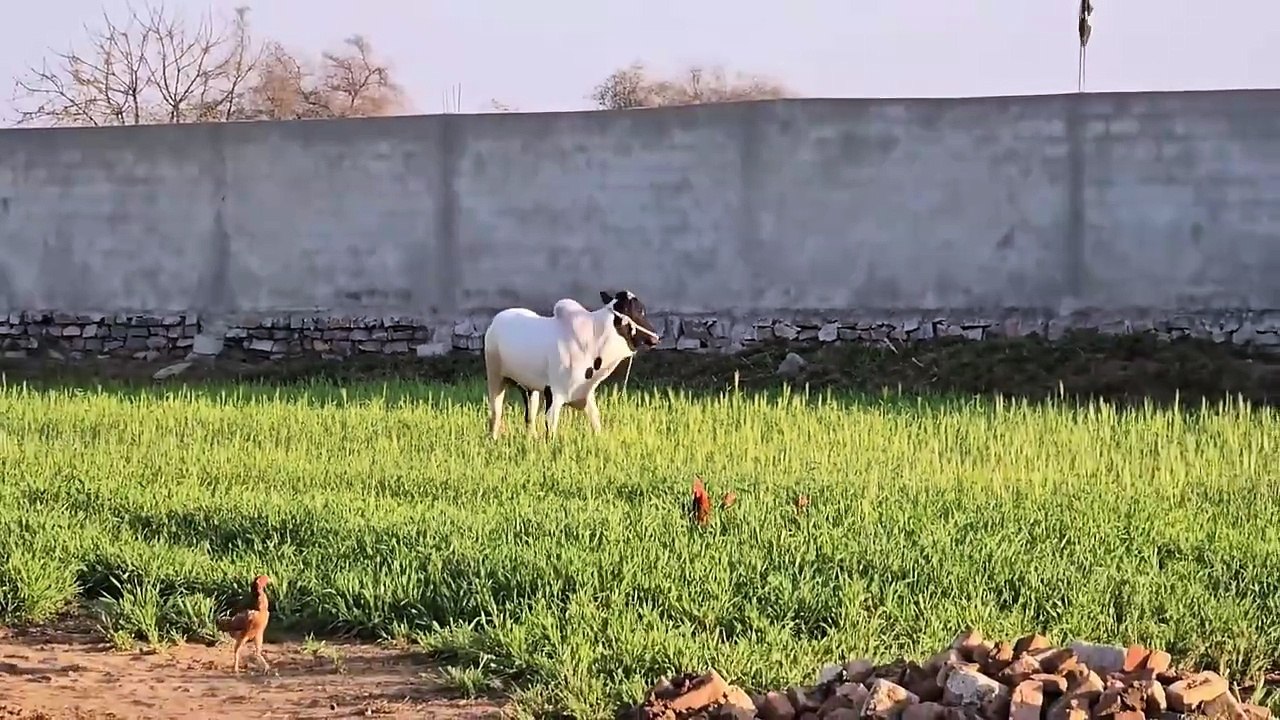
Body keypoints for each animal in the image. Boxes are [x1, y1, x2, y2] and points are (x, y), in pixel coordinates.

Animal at [482, 290, 661, 438]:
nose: (656, 338)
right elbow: (551, 432)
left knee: (529, 418)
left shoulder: (586, 395)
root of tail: (497, 319)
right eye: (637, 311)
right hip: (495, 376)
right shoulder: (554, 394)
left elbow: (596, 423)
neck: (593, 340)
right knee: (496, 415)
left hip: (529, 388)